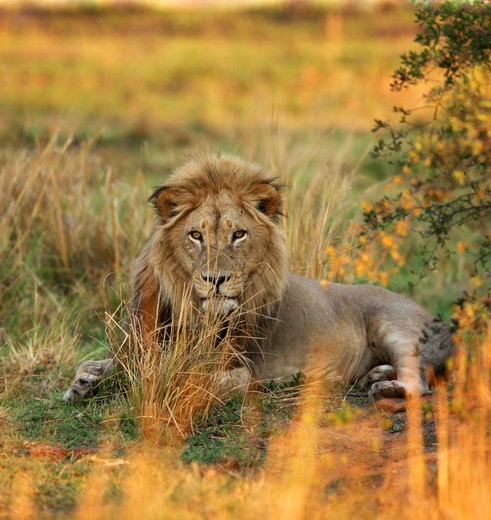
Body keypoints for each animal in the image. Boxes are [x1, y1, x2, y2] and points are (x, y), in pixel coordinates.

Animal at [63, 153, 456, 406]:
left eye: (238, 234)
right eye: (196, 235)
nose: (216, 278)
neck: (192, 308)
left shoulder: (241, 371)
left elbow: (186, 378)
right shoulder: (140, 345)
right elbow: (106, 363)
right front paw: (83, 383)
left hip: (396, 327)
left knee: (420, 382)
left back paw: (384, 388)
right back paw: (375, 376)